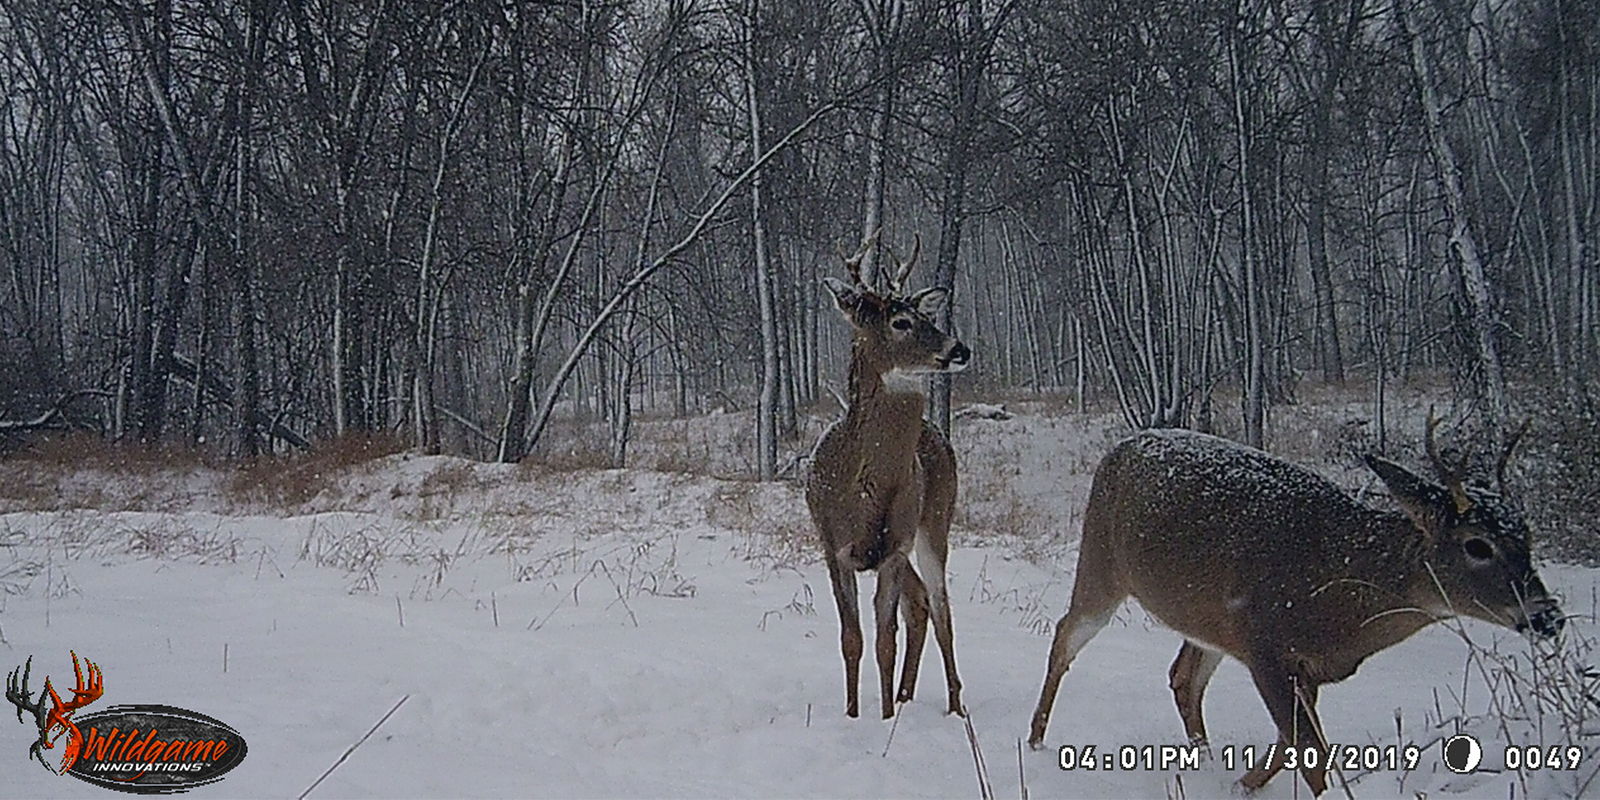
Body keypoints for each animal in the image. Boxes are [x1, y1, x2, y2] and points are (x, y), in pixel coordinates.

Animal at [806, 232, 966, 720]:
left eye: (927, 316)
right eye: (901, 321)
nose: (959, 349)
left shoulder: (893, 547)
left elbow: (884, 641)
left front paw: (884, 718)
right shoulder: (833, 547)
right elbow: (851, 640)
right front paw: (854, 713)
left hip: (934, 521)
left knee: (941, 609)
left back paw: (954, 704)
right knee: (921, 605)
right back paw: (906, 694)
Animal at [1024, 416, 1561, 796]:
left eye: (1528, 535)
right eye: (1477, 545)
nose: (1547, 615)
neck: (1341, 599)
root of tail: (1121, 447)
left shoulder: (1305, 666)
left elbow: (1292, 745)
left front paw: (1242, 783)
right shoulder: (1266, 645)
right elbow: (1312, 755)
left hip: (1207, 620)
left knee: (1183, 676)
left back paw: (1206, 759)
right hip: (1101, 563)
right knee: (1065, 635)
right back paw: (1035, 739)